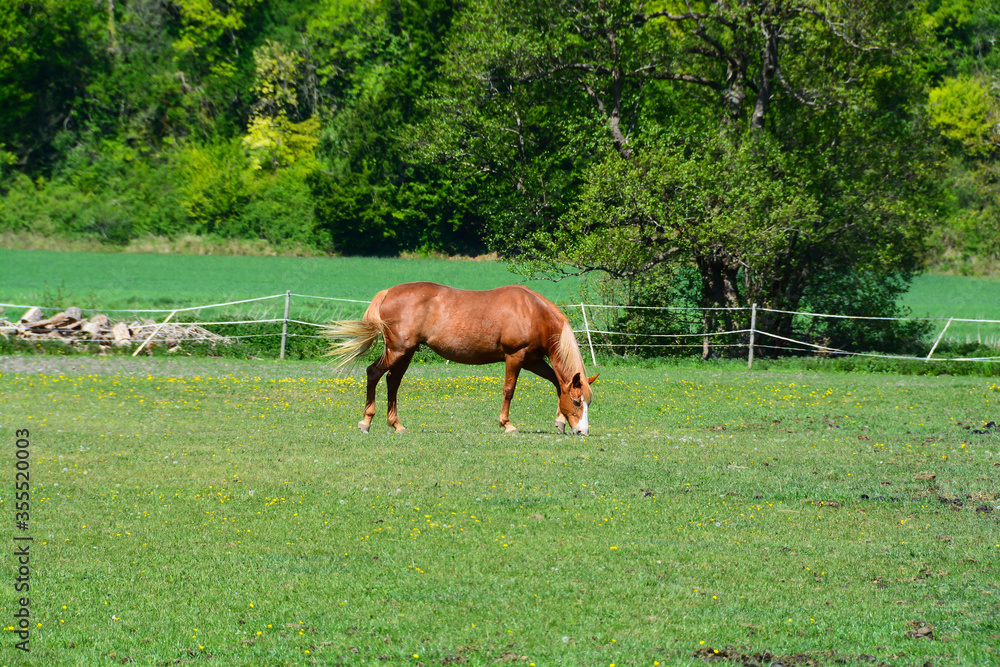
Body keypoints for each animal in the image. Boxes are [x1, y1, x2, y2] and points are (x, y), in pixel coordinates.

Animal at [323, 282, 597, 435]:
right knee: (374, 373)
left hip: (406, 352)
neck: (532, 312)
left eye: (587, 403)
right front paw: (507, 425)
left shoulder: (533, 361)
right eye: (576, 402)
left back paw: (396, 425)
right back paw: (366, 421)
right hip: (398, 350)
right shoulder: (515, 357)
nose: (582, 431)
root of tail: (388, 292)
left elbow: (556, 384)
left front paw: (559, 422)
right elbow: (509, 390)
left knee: (393, 381)